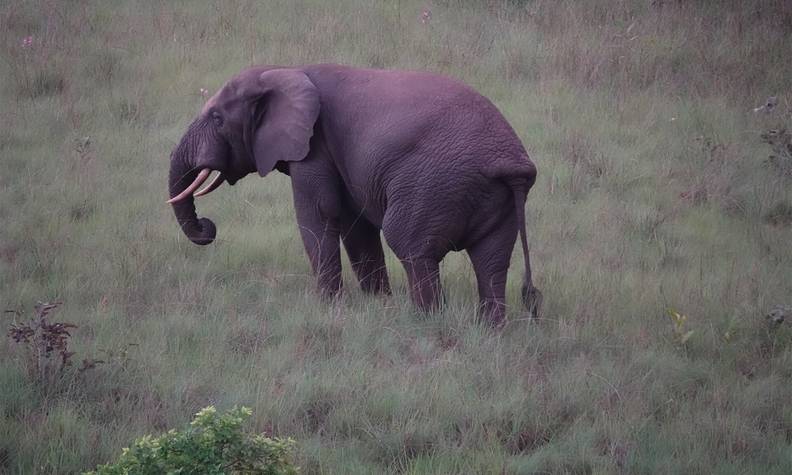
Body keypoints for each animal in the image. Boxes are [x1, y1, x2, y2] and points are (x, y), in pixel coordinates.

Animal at [169, 64, 540, 328]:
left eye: (217, 118)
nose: (207, 227)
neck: (286, 69)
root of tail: (512, 161)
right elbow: (354, 221)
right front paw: (377, 303)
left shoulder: (313, 145)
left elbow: (319, 212)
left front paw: (328, 307)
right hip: (496, 199)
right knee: (491, 261)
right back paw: (490, 331)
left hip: (433, 185)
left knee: (412, 246)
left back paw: (423, 322)